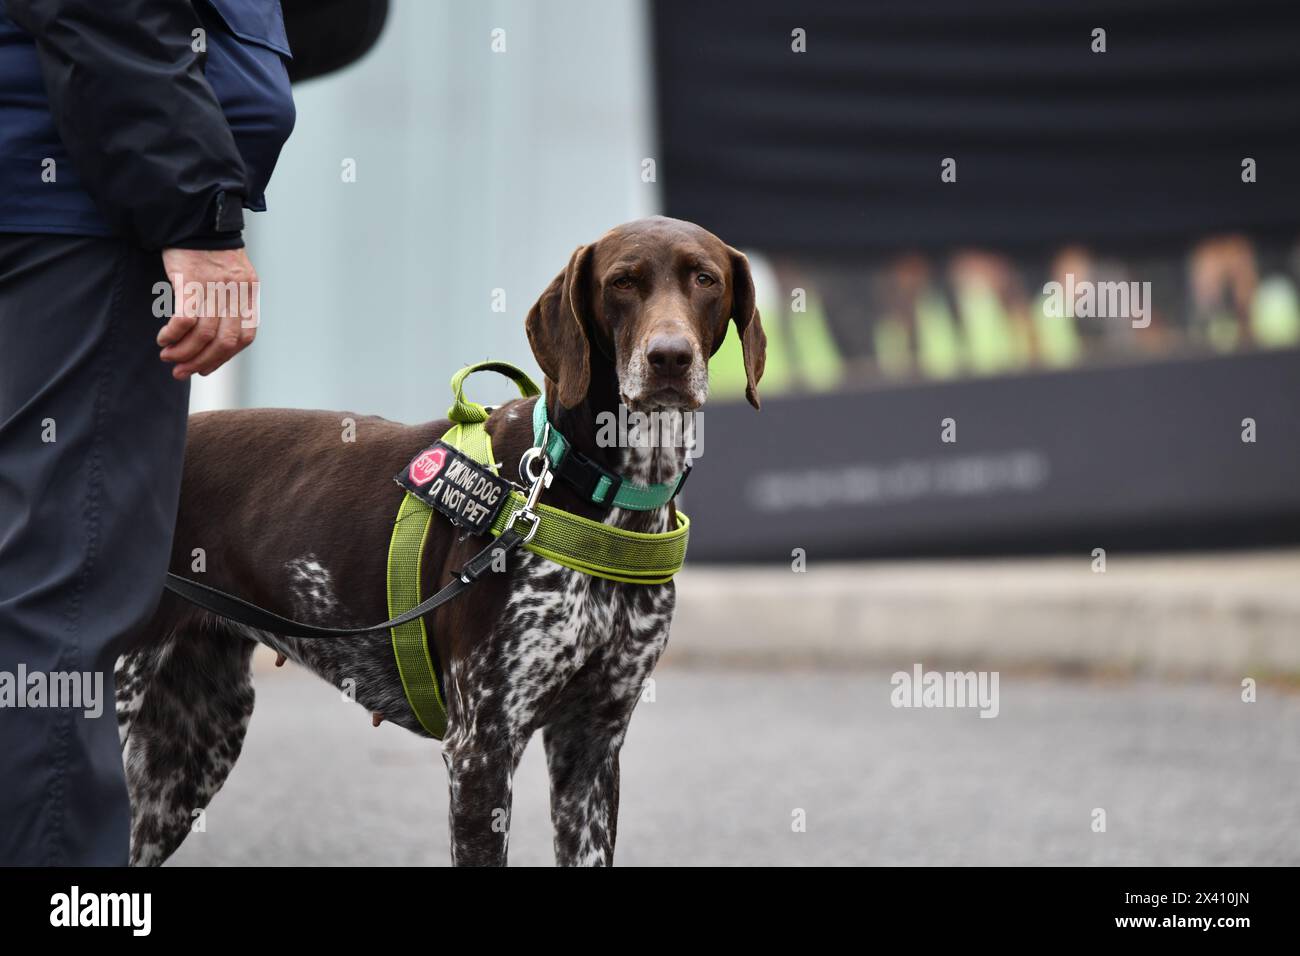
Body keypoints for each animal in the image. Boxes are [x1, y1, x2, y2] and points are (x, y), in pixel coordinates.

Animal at [116, 217, 764, 868]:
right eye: (622, 282)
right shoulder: (482, 747)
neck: (593, 484)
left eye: (705, 279)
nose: (669, 357)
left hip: (190, 749)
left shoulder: (592, 747)